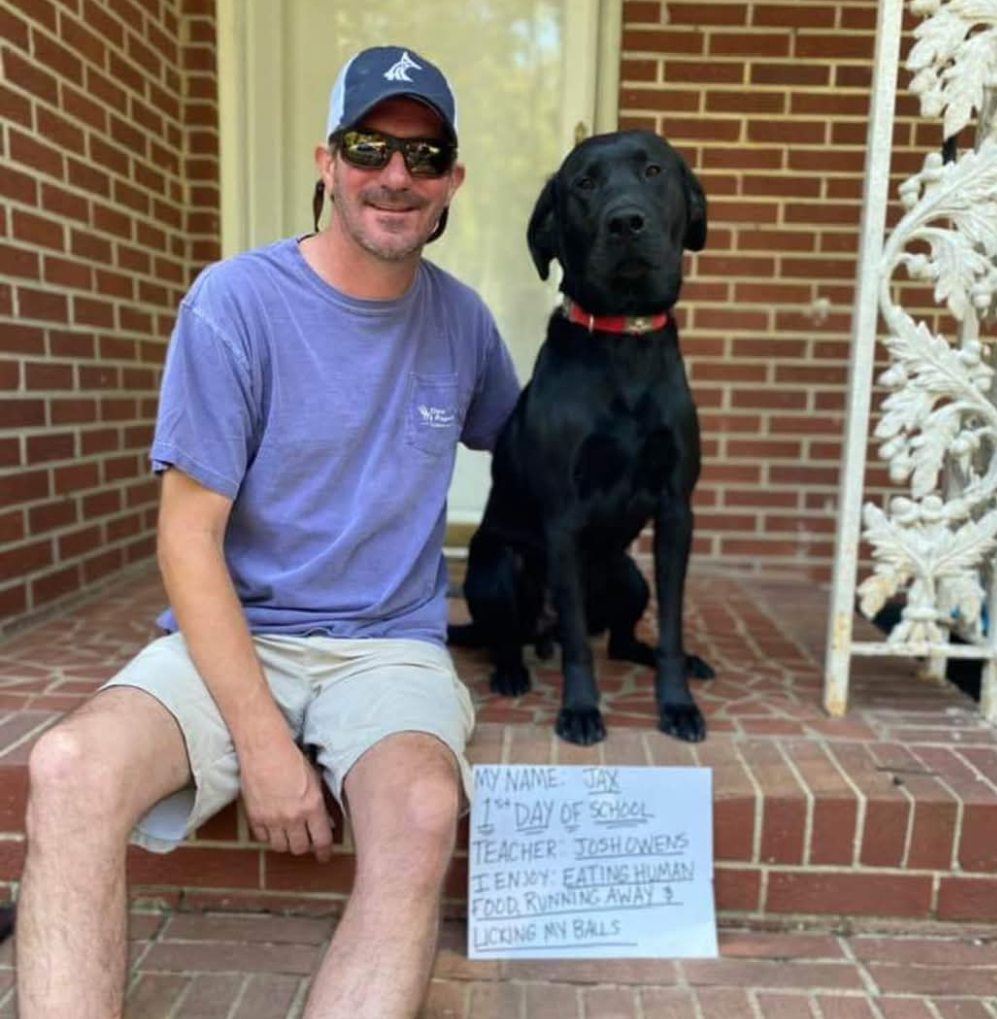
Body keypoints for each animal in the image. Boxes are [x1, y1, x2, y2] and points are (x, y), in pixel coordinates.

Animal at [450, 129, 713, 746]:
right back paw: (512, 672)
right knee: (512, 636)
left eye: (653, 170)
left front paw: (677, 703)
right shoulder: (563, 517)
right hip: (494, 563)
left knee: (621, 638)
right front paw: (580, 710)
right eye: (584, 184)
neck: (625, 343)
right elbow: (576, 641)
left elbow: (672, 624)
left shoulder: (676, 510)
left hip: (630, 577)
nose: (625, 223)